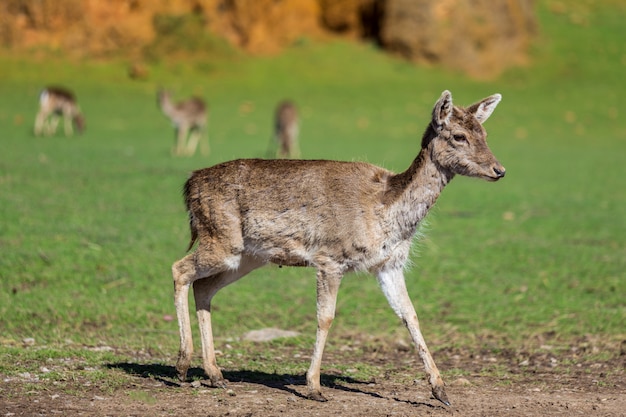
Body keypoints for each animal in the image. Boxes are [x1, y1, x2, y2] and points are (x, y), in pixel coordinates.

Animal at [173, 89, 504, 404]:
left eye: (485, 133)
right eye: (459, 136)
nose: (499, 170)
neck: (386, 211)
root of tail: (189, 185)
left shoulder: (389, 264)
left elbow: (410, 314)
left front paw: (441, 391)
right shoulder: (330, 258)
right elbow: (326, 317)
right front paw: (314, 387)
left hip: (247, 256)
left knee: (203, 287)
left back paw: (214, 373)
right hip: (221, 239)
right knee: (179, 268)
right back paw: (182, 365)